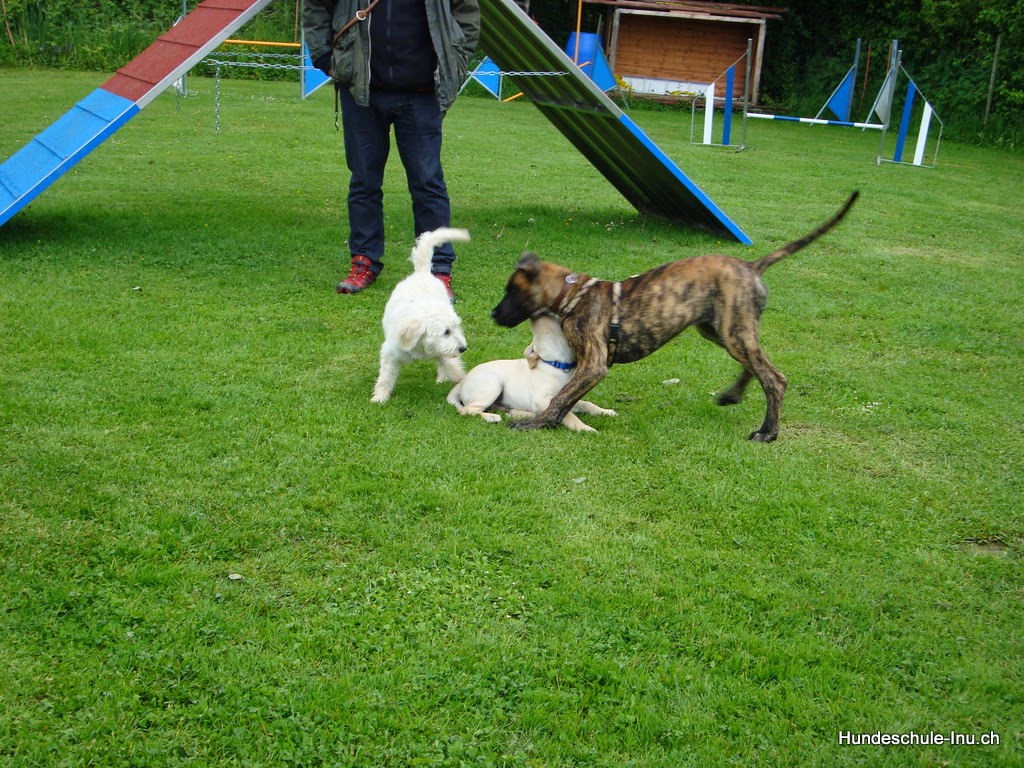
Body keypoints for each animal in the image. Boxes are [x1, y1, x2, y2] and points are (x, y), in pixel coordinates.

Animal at [371, 227, 471, 403]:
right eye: (446, 332)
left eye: (456, 328)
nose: (462, 348)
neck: (420, 346)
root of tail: (422, 273)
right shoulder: (390, 353)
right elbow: (385, 377)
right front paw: (380, 397)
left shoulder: (443, 350)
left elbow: (451, 365)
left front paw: (459, 379)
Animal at [447, 314, 617, 432]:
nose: (537, 314)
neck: (558, 366)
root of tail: (461, 383)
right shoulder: (544, 399)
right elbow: (569, 415)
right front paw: (585, 428)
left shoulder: (568, 397)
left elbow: (587, 404)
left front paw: (605, 411)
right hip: (492, 384)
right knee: (467, 410)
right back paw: (491, 417)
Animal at [490, 192, 859, 441]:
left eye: (511, 291)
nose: (493, 314)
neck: (572, 293)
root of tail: (752, 266)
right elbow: (568, 398)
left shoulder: (593, 364)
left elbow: (560, 397)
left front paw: (535, 423)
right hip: (722, 329)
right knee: (756, 364)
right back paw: (733, 395)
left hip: (732, 331)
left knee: (774, 378)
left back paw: (767, 432)